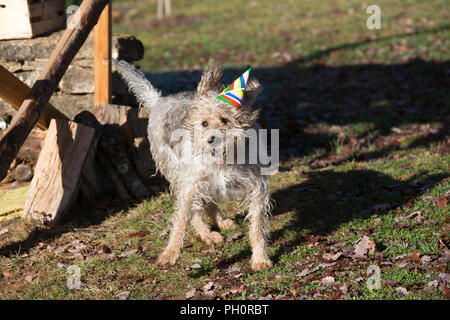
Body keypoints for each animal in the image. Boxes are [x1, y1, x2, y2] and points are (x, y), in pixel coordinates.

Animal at [114, 61, 272, 272]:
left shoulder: (256, 189)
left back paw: (220, 222)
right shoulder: (190, 186)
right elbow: (181, 222)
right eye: (204, 123)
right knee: (196, 211)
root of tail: (159, 101)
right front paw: (170, 253)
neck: (222, 162)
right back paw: (207, 234)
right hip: (178, 173)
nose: (211, 139)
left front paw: (260, 258)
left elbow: (257, 228)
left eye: (225, 120)